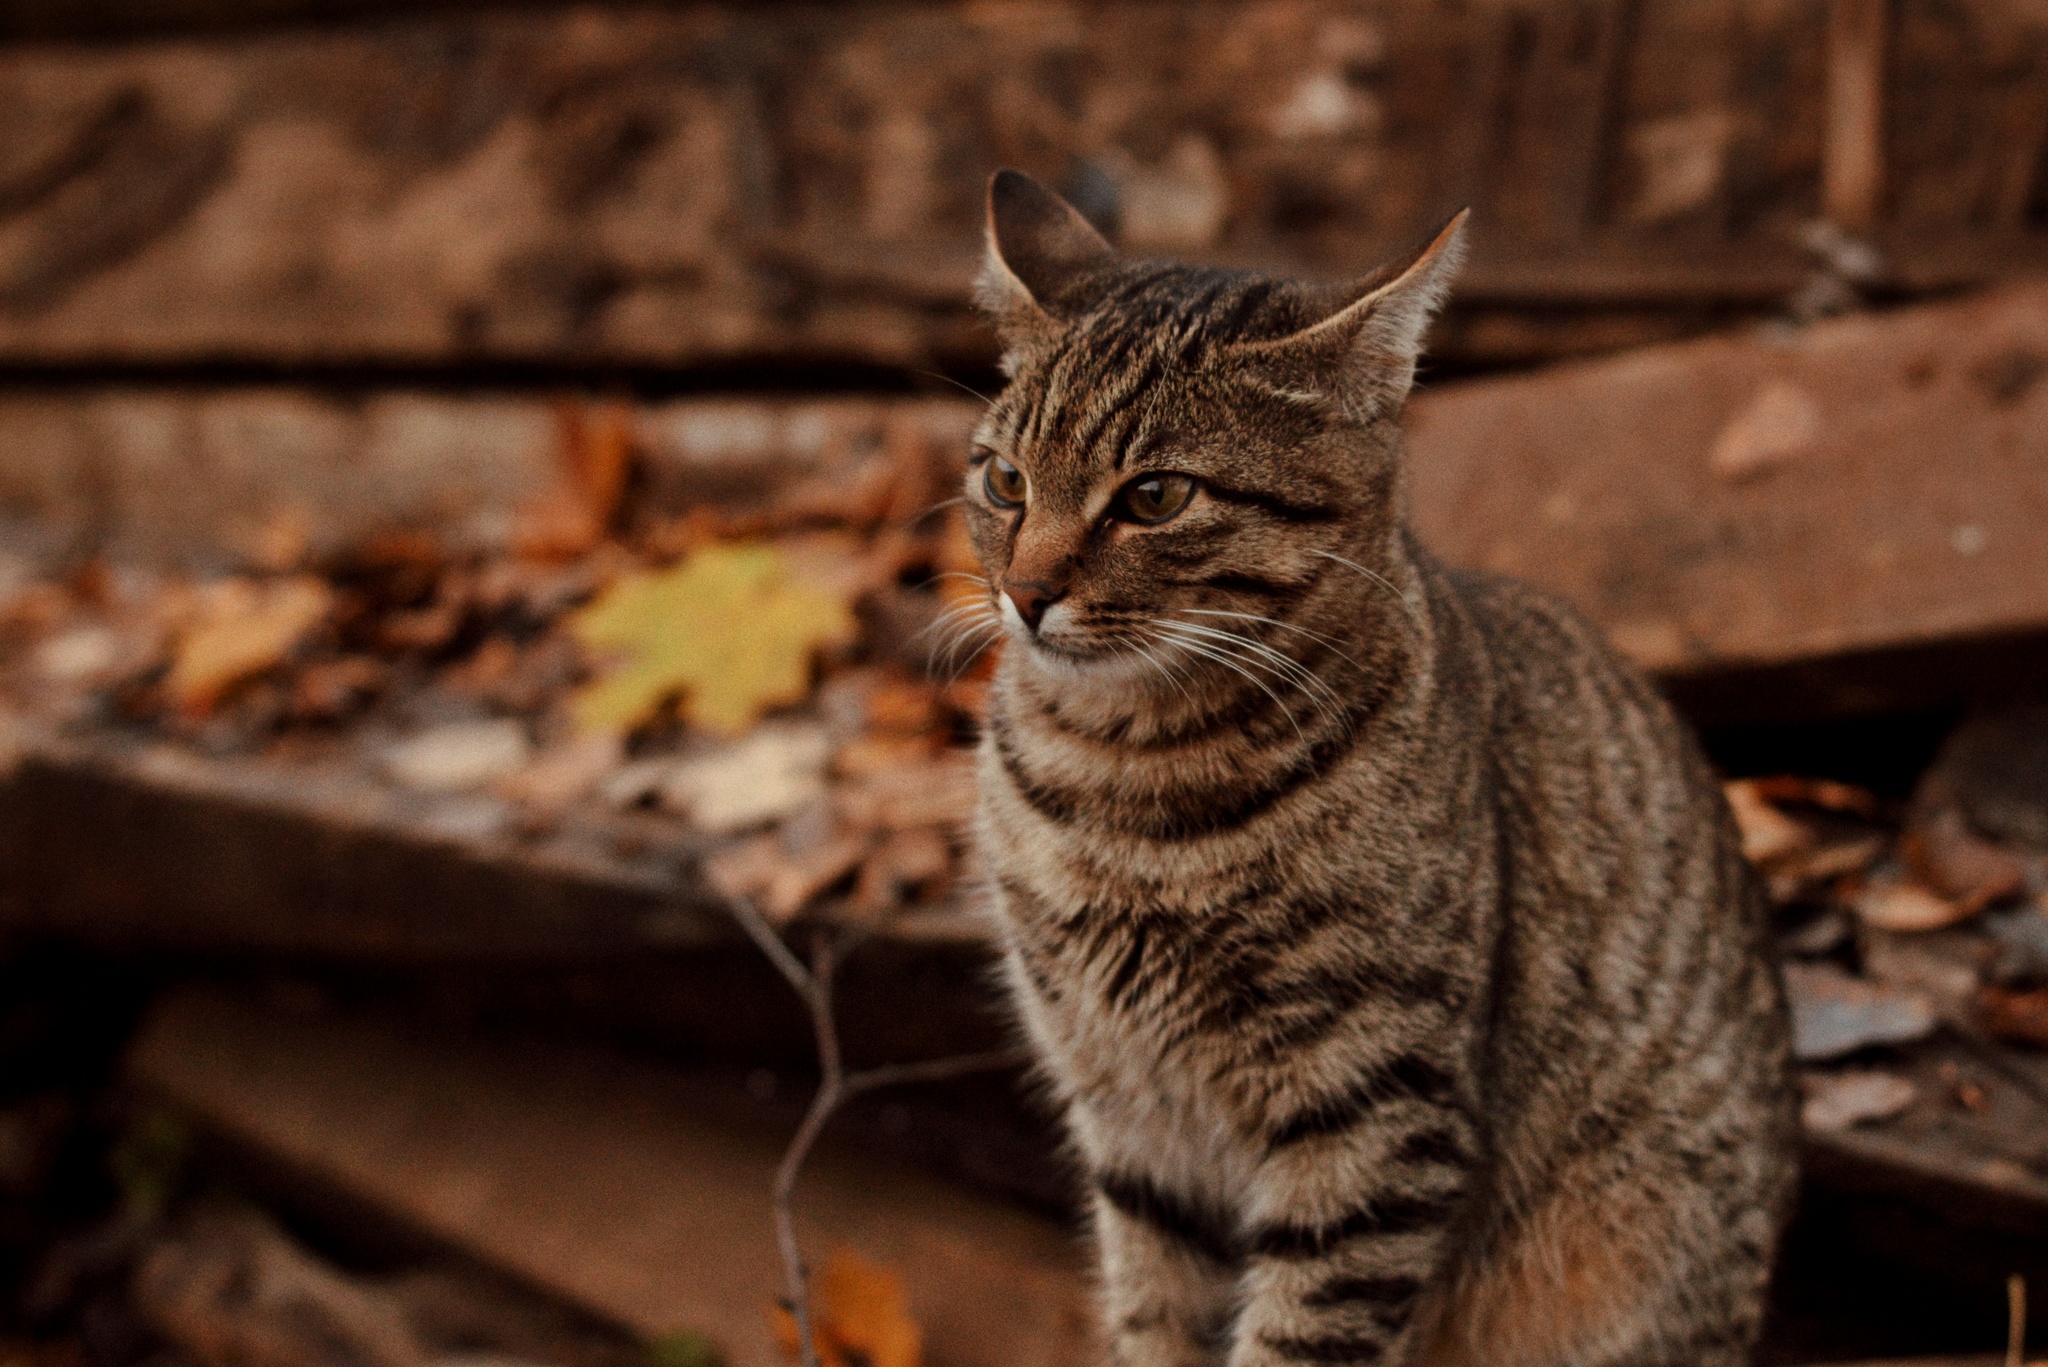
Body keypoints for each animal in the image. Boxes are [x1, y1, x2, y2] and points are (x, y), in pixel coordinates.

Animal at [958, 174, 1794, 1367]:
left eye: (1155, 495)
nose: (1023, 595)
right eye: (1004, 481)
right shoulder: (1128, 1110)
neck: (1119, 778)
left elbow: (1301, 1335)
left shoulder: (1375, 1107)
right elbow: (1153, 1309)